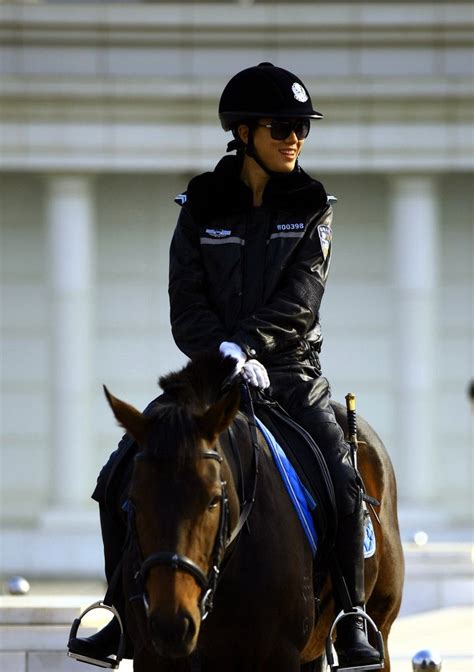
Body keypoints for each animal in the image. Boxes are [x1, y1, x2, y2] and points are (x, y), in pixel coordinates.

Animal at [104, 354, 404, 668]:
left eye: (213, 499)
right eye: (133, 500)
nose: (171, 626)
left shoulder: (280, 655)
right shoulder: (152, 657)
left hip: (380, 626)